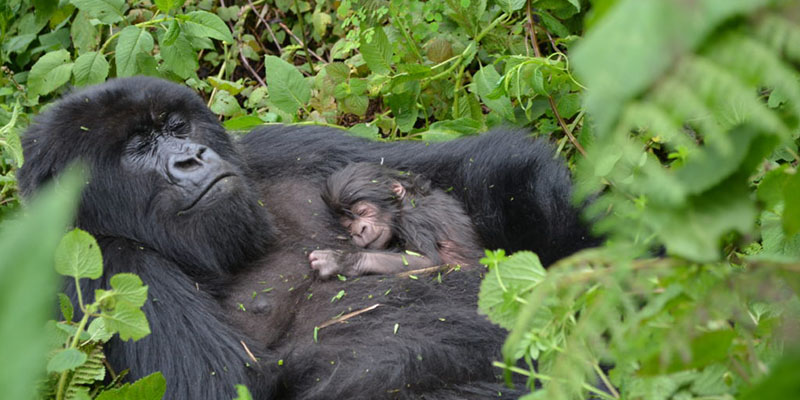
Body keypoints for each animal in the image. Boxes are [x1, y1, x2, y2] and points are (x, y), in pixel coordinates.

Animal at [308, 162, 482, 278]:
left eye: (363, 212)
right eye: (348, 225)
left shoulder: (413, 222)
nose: (359, 231)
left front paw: (341, 260)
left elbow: (427, 262)